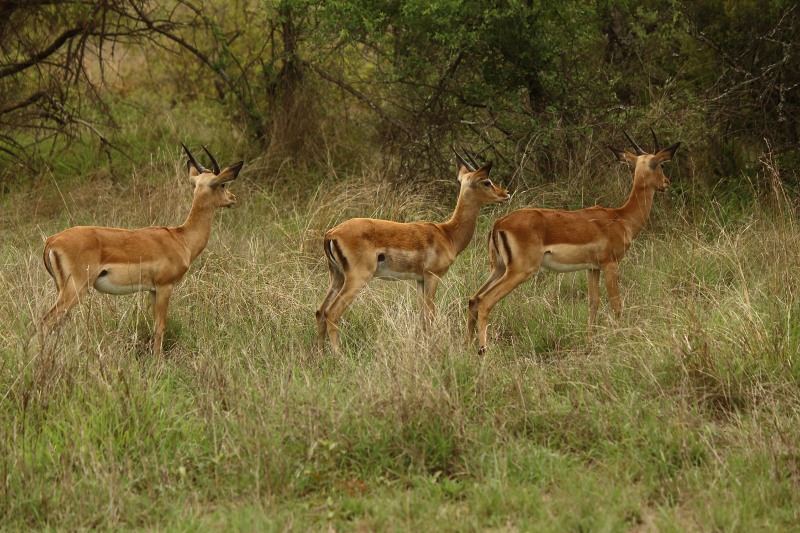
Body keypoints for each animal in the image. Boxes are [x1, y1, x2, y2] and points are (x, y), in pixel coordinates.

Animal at [41, 144, 243, 355]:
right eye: (223, 184)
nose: (233, 198)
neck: (181, 238)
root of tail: (52, 241)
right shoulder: (165, 287)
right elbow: (161, 326)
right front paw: (158, 359)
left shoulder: (152, 290)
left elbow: (154, 325)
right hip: (76, 288)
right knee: (46, 322)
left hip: (63, 289)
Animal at [316, 149, 511, 352]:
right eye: (486, 181)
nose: (506, 193)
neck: (447, 234)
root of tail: (331, 233)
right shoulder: (432, 277)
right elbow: (430, 315)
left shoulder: (419, 280)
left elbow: (423, 317)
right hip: (357, 278)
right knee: (331, 313)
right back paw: (338, 354)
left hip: (337, 276)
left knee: (320, 311)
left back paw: (320, 354)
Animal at [468, 130, 680, 354]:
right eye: (661, 165)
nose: (666, 183)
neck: (622, 218)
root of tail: (499, 223)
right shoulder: (610, 264)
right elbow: (616, 303)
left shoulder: (592, 268)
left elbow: (594, 302)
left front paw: (590, 338)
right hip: (519, 271)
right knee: (485, 301)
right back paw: (482, 351)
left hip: (498, 268)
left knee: (473, 299)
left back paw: (466, 347)